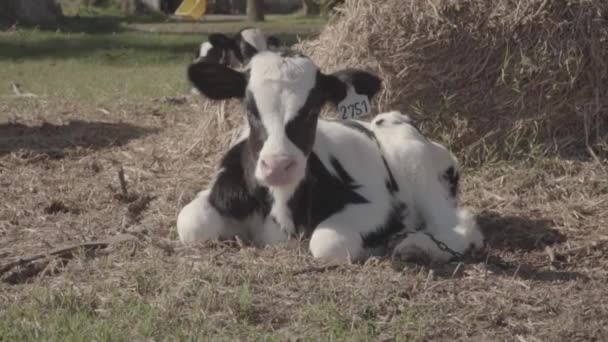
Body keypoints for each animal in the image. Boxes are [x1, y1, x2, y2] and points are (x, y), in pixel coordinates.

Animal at [177, 50, 484, 264]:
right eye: (250, 110)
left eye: (314, 110)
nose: (278, 166)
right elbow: (189, 223)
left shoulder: (374, 206)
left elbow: (328, 242)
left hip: (415, 159)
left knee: (459, 224)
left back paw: (417, 247)